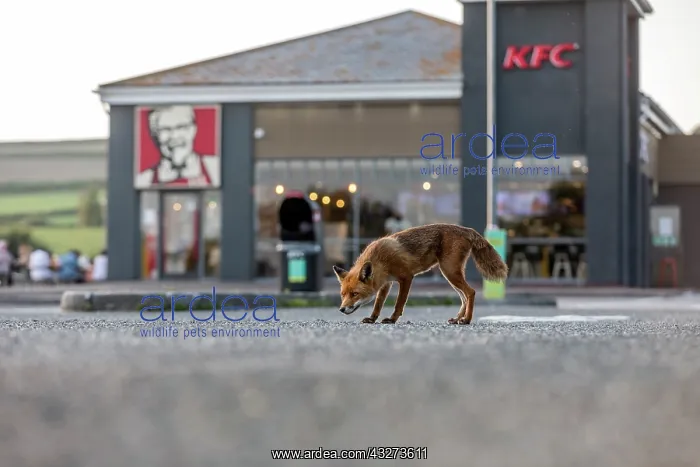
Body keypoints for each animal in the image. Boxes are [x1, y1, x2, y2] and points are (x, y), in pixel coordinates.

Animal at [333, 223, 508, 325]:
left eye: (354, 294)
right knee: (464, 297)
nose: (341, 309)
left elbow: (399, 303)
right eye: (343, 295)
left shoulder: (406, 277)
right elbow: (378, 304)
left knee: (470, 292)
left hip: (449, 271)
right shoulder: (386, 283)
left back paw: (466, 320)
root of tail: (466, 229)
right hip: (450, 274)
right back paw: (458, 318)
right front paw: (372, 318)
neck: (380, 259)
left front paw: (392, 319)